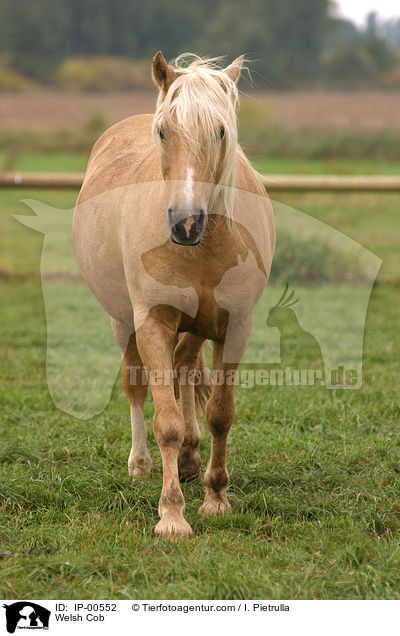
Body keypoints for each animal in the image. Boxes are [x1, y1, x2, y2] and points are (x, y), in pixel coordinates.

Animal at [72, 51, 276, 536]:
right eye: (163, 130)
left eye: (220, 131)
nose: (185, 222)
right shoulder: (153, 322)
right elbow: (164, 421)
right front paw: (171, 515)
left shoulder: (235, 325)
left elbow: (220, 413)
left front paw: (216, 497)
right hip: (123, 322)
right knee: (135, 384)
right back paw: (142, 464)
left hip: (197, 327)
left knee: (185, 369)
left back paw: (189, 457)